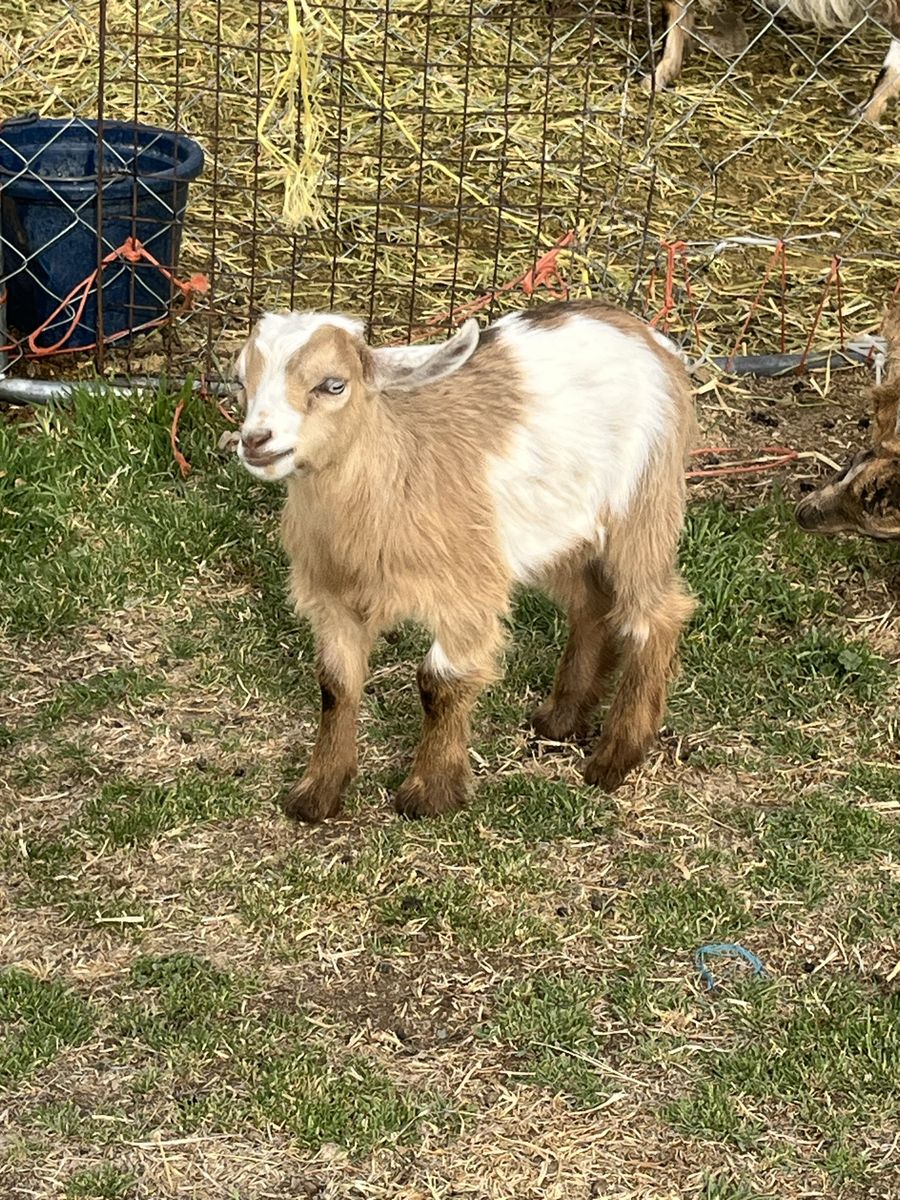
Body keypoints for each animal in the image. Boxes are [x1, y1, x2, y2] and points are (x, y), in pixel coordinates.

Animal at [234, 300, 697, 822]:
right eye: (240, 381)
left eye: (333, 384)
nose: (256, 439)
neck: (391, 476)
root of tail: (648, 335)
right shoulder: (333, 598)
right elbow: (335, 685)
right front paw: (317, 794)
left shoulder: (467, 591)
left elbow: (440, 682)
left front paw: (429, 793)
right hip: (564, 532)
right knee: (591, 605)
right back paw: (559, 719)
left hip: (643, 506)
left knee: (656, 615)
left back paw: (615, 759)